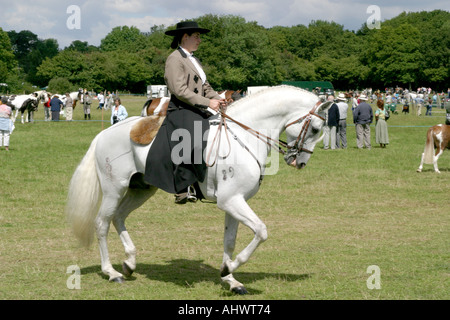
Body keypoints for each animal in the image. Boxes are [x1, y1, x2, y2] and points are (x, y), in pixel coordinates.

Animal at [67, 85, 332, 296]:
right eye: (316, 128)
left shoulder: (234, 202)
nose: (300, 162)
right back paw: (111, 272)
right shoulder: (231, 201)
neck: (244, 136)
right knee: (102, 223)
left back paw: (129, 263)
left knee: (119, 217)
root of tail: (104, 133)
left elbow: (230, 241)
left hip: (141, 189)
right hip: (114, 188)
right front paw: (230, 268)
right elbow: (261, 231)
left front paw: (231, 279)